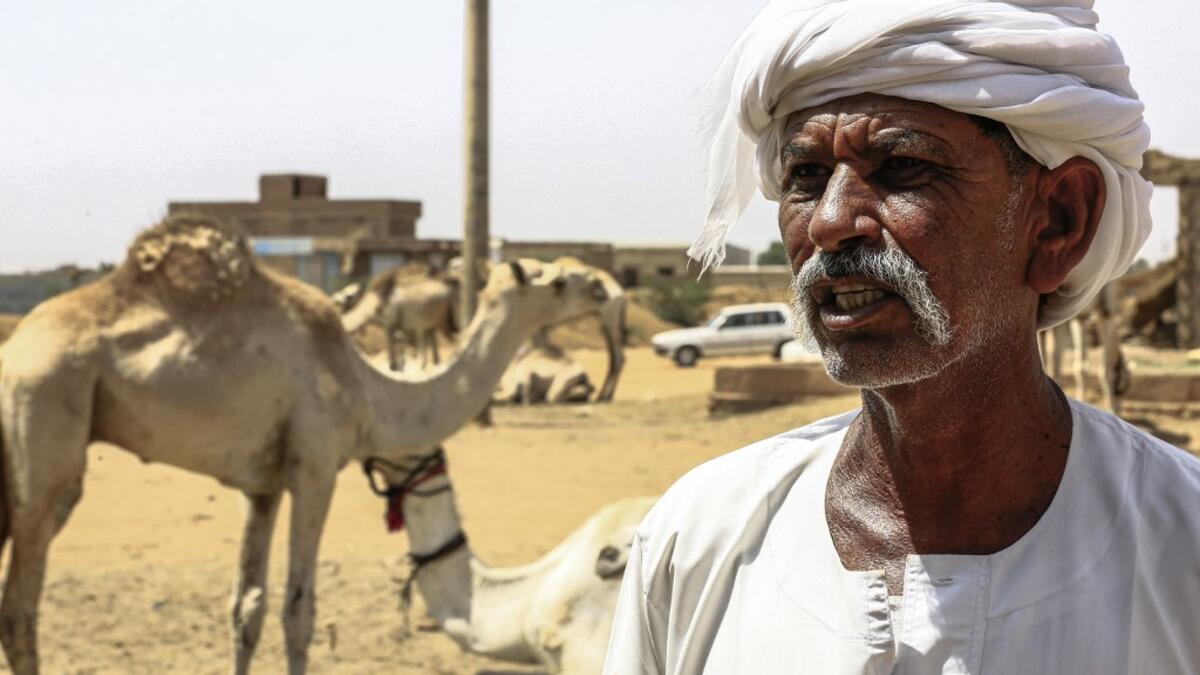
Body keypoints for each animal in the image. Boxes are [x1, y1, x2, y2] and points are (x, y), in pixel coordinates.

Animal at [0, 214, 612, 675]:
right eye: (557, 281)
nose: (601, 285)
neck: (367, 388)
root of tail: (13, 355)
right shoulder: (314, 468)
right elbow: (299, 610)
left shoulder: (262, 486)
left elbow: (246, 606)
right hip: (46, 424)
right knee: (20, 607)